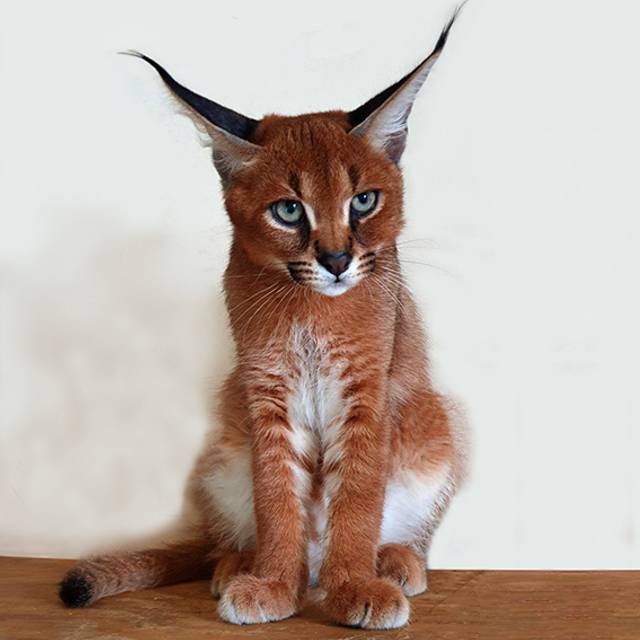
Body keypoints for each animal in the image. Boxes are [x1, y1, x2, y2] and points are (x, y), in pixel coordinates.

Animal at [58, 8, 464, 632]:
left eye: (363, 202)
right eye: (289, 210)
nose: (337, 259)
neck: (312, 309)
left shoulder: (367, 388)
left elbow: (358, 495)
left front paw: (353, 584)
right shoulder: (265, 389)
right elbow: (275, 492)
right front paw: (274, 582)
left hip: (434, 418)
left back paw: (394, 563)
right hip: (223, 442)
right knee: (221, 537)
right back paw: (240, 564)